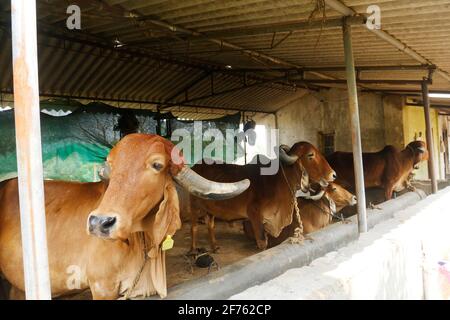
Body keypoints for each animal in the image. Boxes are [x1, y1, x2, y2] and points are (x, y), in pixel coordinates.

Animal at [185, 141, 336, 251]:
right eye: (310, 155)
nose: (333, 174)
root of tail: (195, 167)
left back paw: (214, 246)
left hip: (211, 209)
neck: (278, 181)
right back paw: (193, 250)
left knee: (210, 225)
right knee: (194, 227)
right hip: (194, 205)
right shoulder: (255, 216)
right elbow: (262, 243)